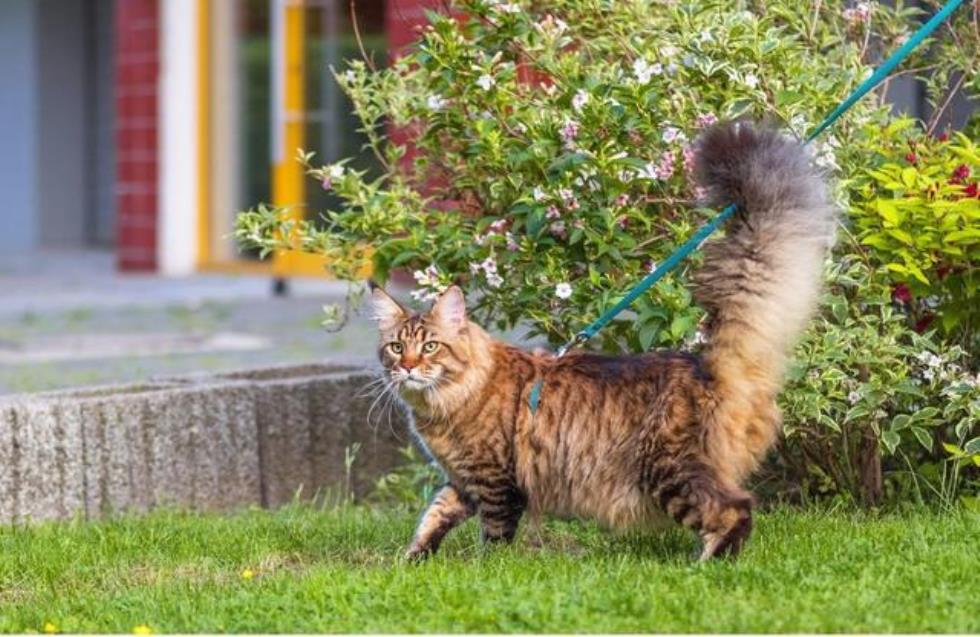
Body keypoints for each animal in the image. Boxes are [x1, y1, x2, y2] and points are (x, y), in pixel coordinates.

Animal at [368, 121, 836, 560]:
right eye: (397, 347)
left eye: (430, 346)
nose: (408, 367)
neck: (444, 403)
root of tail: (707, 365)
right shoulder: (461, 481)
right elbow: (432, 518)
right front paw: (412, 562)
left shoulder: (497, 481)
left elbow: (494, 537)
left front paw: (485, 570)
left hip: (668, 470)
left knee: (736, 509)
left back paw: (706, 564)